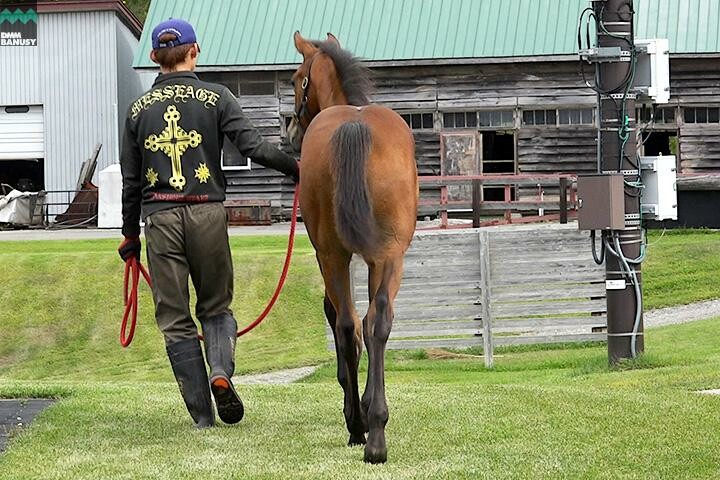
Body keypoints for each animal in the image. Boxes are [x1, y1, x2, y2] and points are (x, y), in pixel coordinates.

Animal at [288, 31, 416, 464]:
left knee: (346, 325)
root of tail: (356, 125)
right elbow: (370, 323)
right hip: (390, 255)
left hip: (333, 256)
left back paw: (360, 427)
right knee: (377, 321)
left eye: (296, 78)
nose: (290, 135)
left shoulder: (329, 258)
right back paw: (375, 431)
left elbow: (341, 322)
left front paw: (355, 409)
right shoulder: (377, 258)